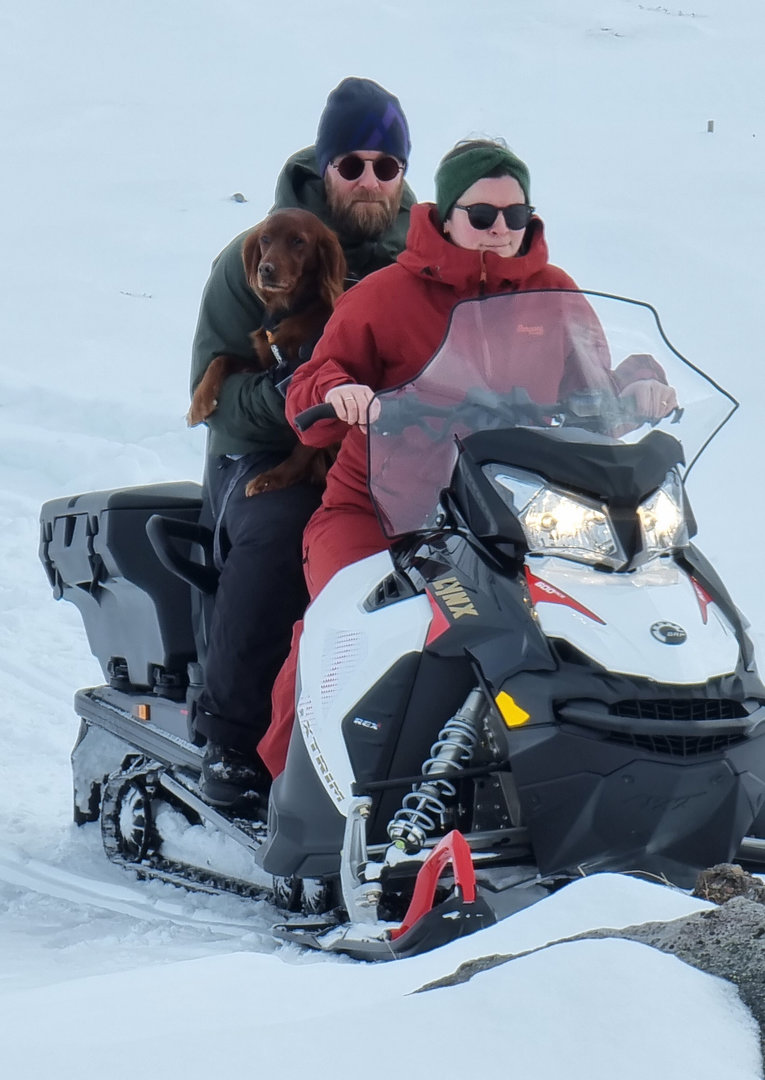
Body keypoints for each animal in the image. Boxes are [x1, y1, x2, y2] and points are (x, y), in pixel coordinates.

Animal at [188, 208, 346, 495]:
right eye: (265, 239)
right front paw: (200, 403)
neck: (290, 310)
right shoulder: (266, 367)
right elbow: (222, 359)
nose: (266, 269)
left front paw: (273, 478)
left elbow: (305, 445)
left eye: (298, 241)